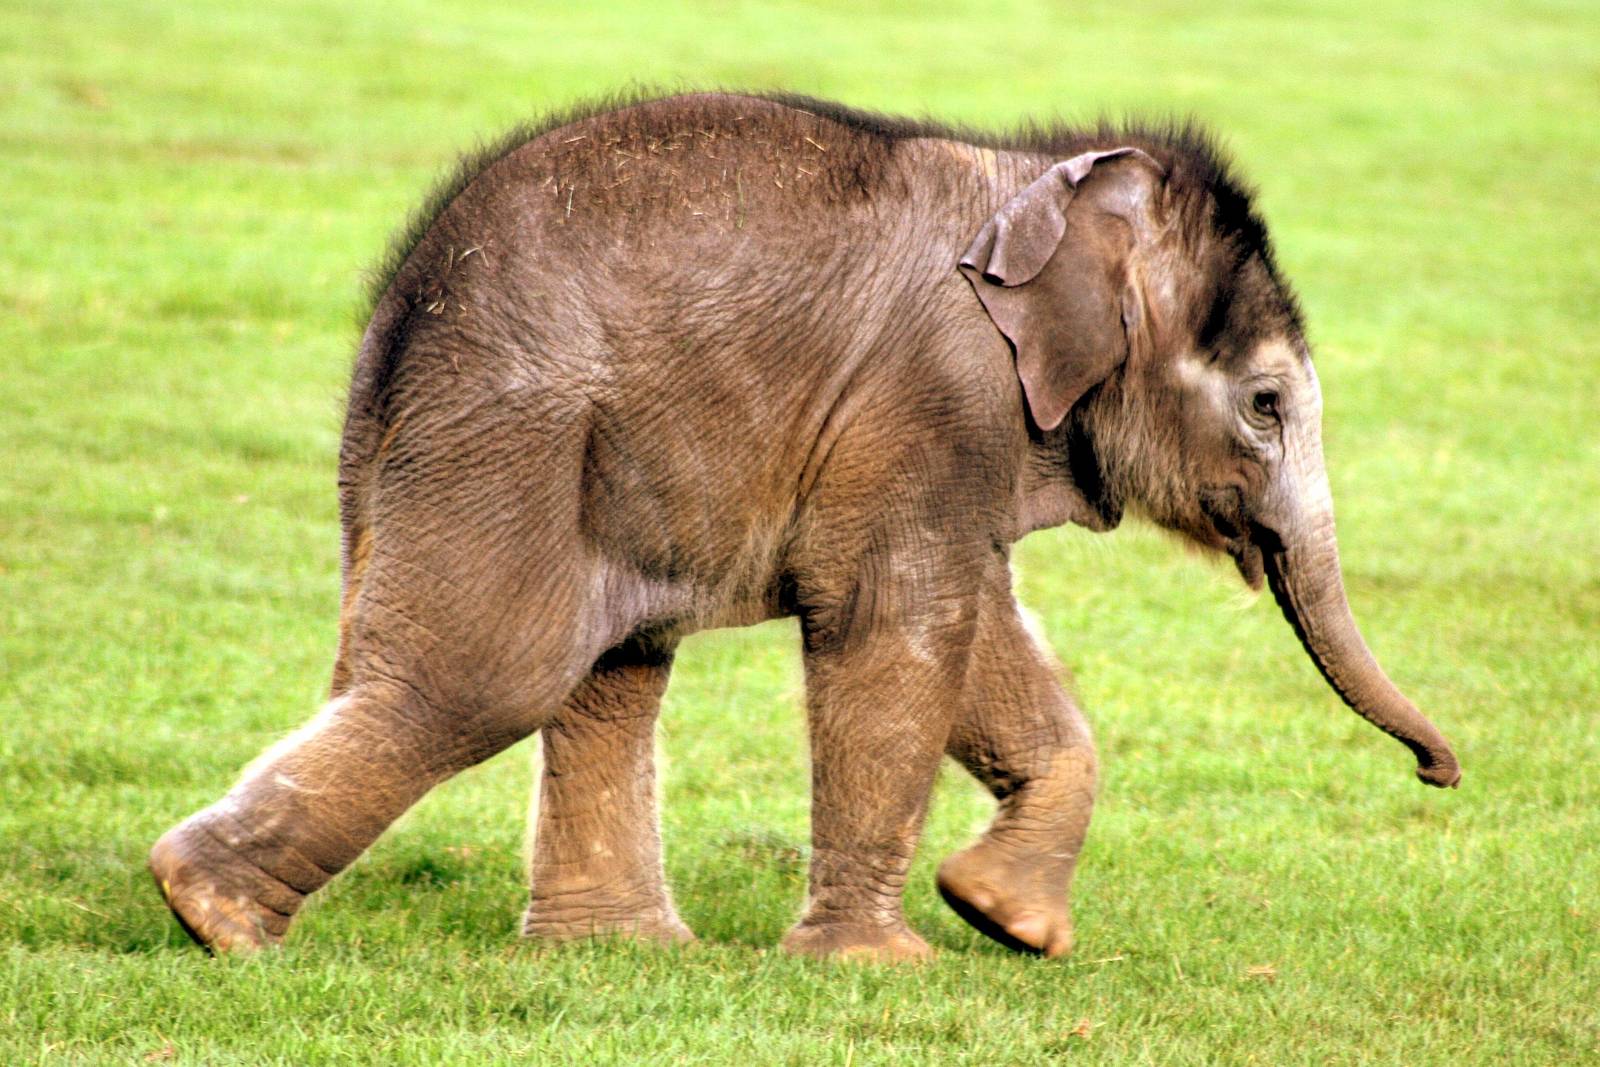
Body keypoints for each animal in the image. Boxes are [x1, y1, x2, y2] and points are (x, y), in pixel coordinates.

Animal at [149, 91, 1460, 962]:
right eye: (1267, 403)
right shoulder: (930, 393)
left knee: (609, 668)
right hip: (513, 432)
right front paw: (883, 964)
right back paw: (208, 914)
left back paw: (617, 951)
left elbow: (976, 627)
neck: (1032, 177)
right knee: (490, 672)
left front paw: (1009, 922)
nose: (1439, 771)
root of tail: (392, 324)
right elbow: (897, 621)